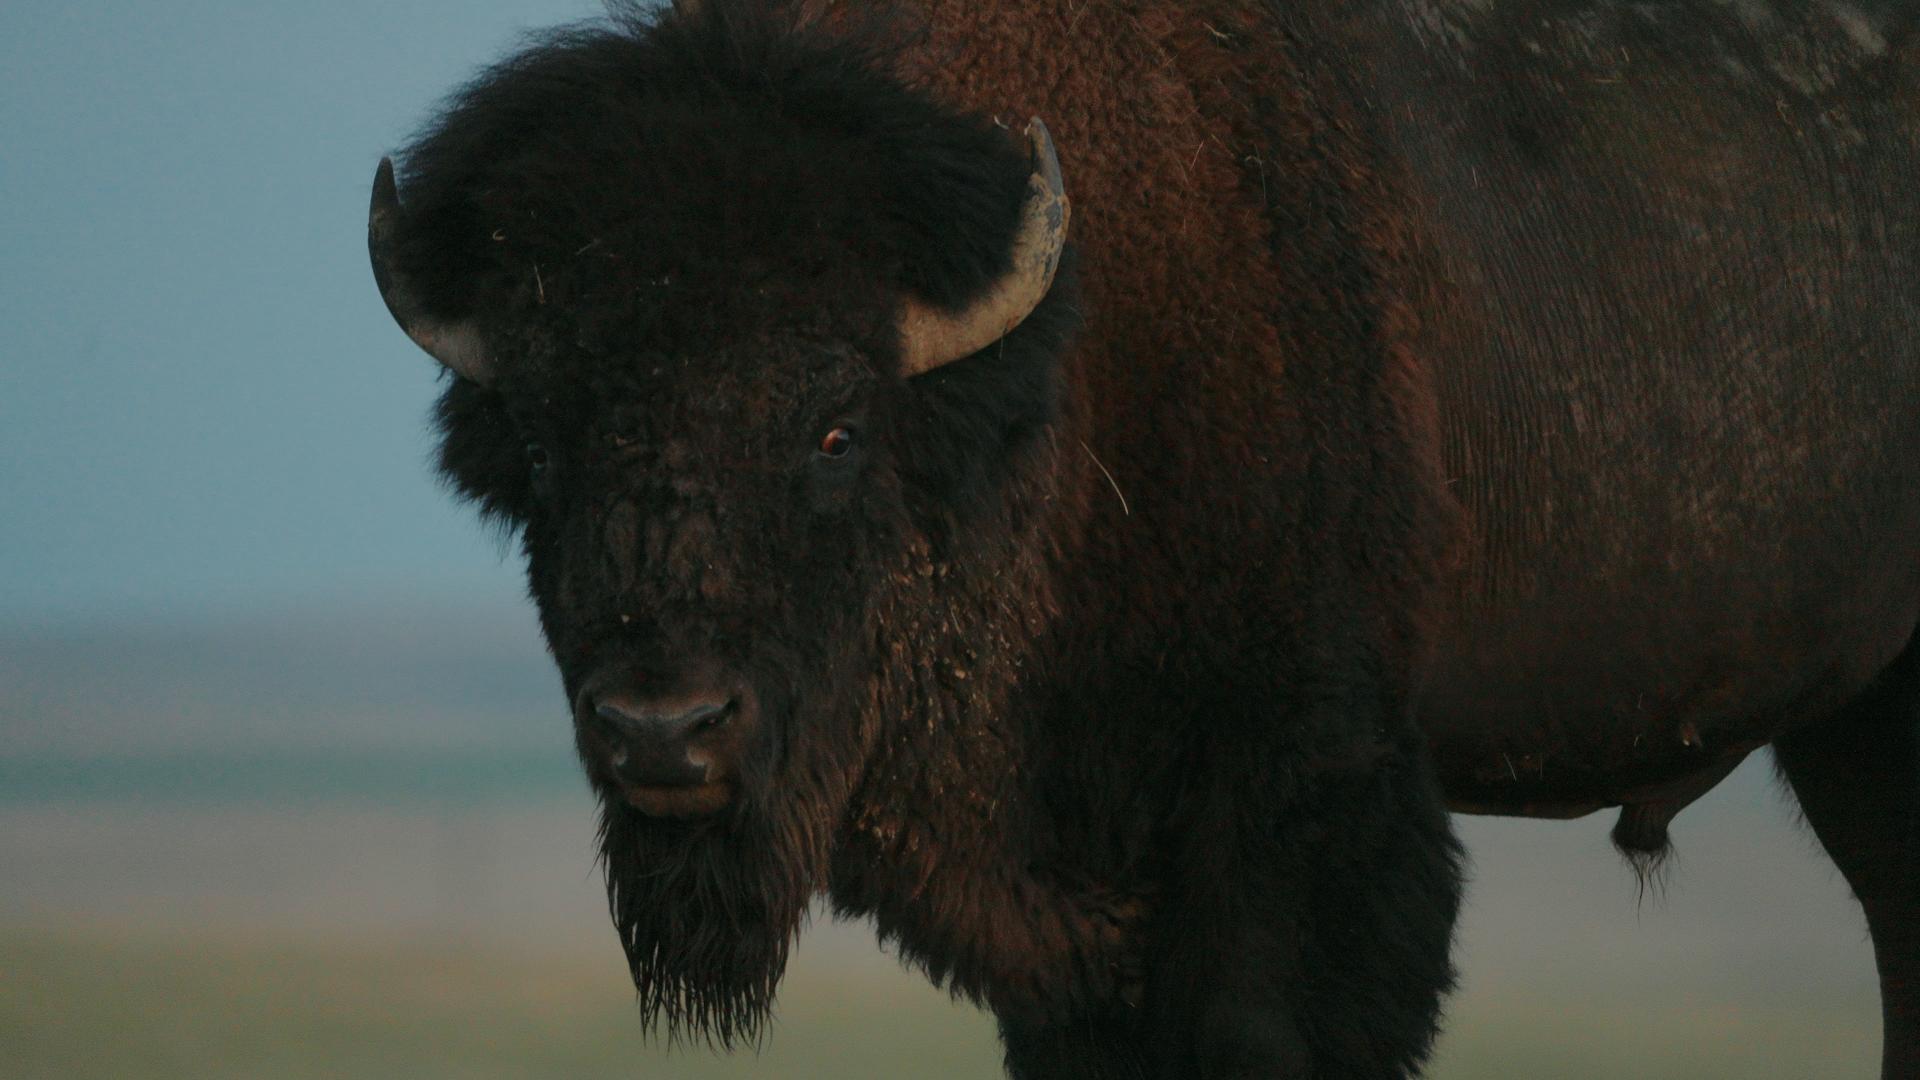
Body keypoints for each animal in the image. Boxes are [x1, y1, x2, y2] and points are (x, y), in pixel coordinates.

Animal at [366, 1, 1920, 1076]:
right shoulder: (1071, 922)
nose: (665, 732)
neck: (1048, 375)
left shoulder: (1300, 812)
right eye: (544, 445)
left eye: (837, 428)